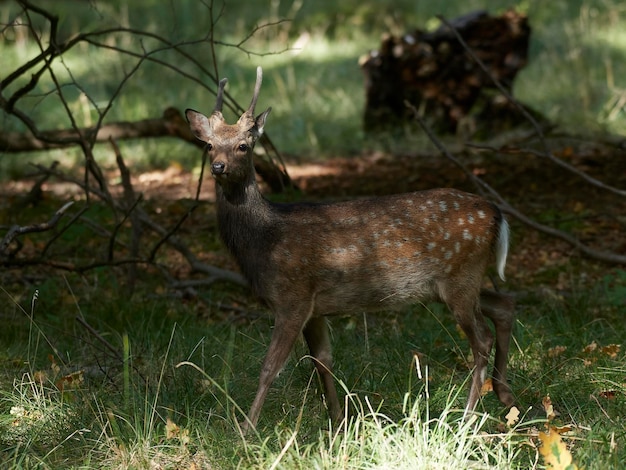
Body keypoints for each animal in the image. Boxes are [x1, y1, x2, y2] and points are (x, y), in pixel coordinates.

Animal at [183, 66, 516, 434]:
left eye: (243, 145)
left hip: (460, 275)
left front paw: (245, 429)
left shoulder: (292, 297)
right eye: (209, 145)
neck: (264, 241)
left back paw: (465, 420)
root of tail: (497, 214)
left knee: (481, 339)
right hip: (458, 282)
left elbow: (270, 367)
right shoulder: (314, 307)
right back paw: (504, 396)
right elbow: (322, 360)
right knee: (504, 304)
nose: (219, 167)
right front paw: (339, 424)